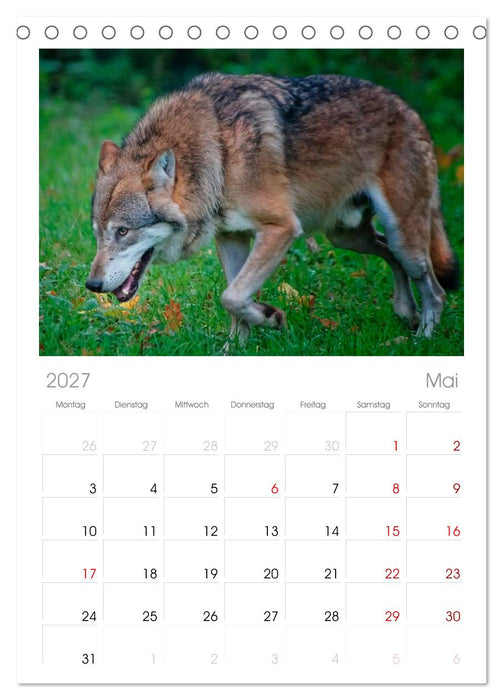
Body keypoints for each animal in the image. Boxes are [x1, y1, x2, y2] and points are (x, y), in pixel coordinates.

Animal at [86, 72, 459, 341]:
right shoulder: (231, 237)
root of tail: (409, 110)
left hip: (401, 236)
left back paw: (423, 339)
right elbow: (234, 302)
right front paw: (234, 350)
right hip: (347, 237)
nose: (92, 285)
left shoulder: (281, 229)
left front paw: (271, 317)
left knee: (436, 290)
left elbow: (232, 297)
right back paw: (406, 312)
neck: (219, 155)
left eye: (123, 231)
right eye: (97, 234)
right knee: (391, 257)